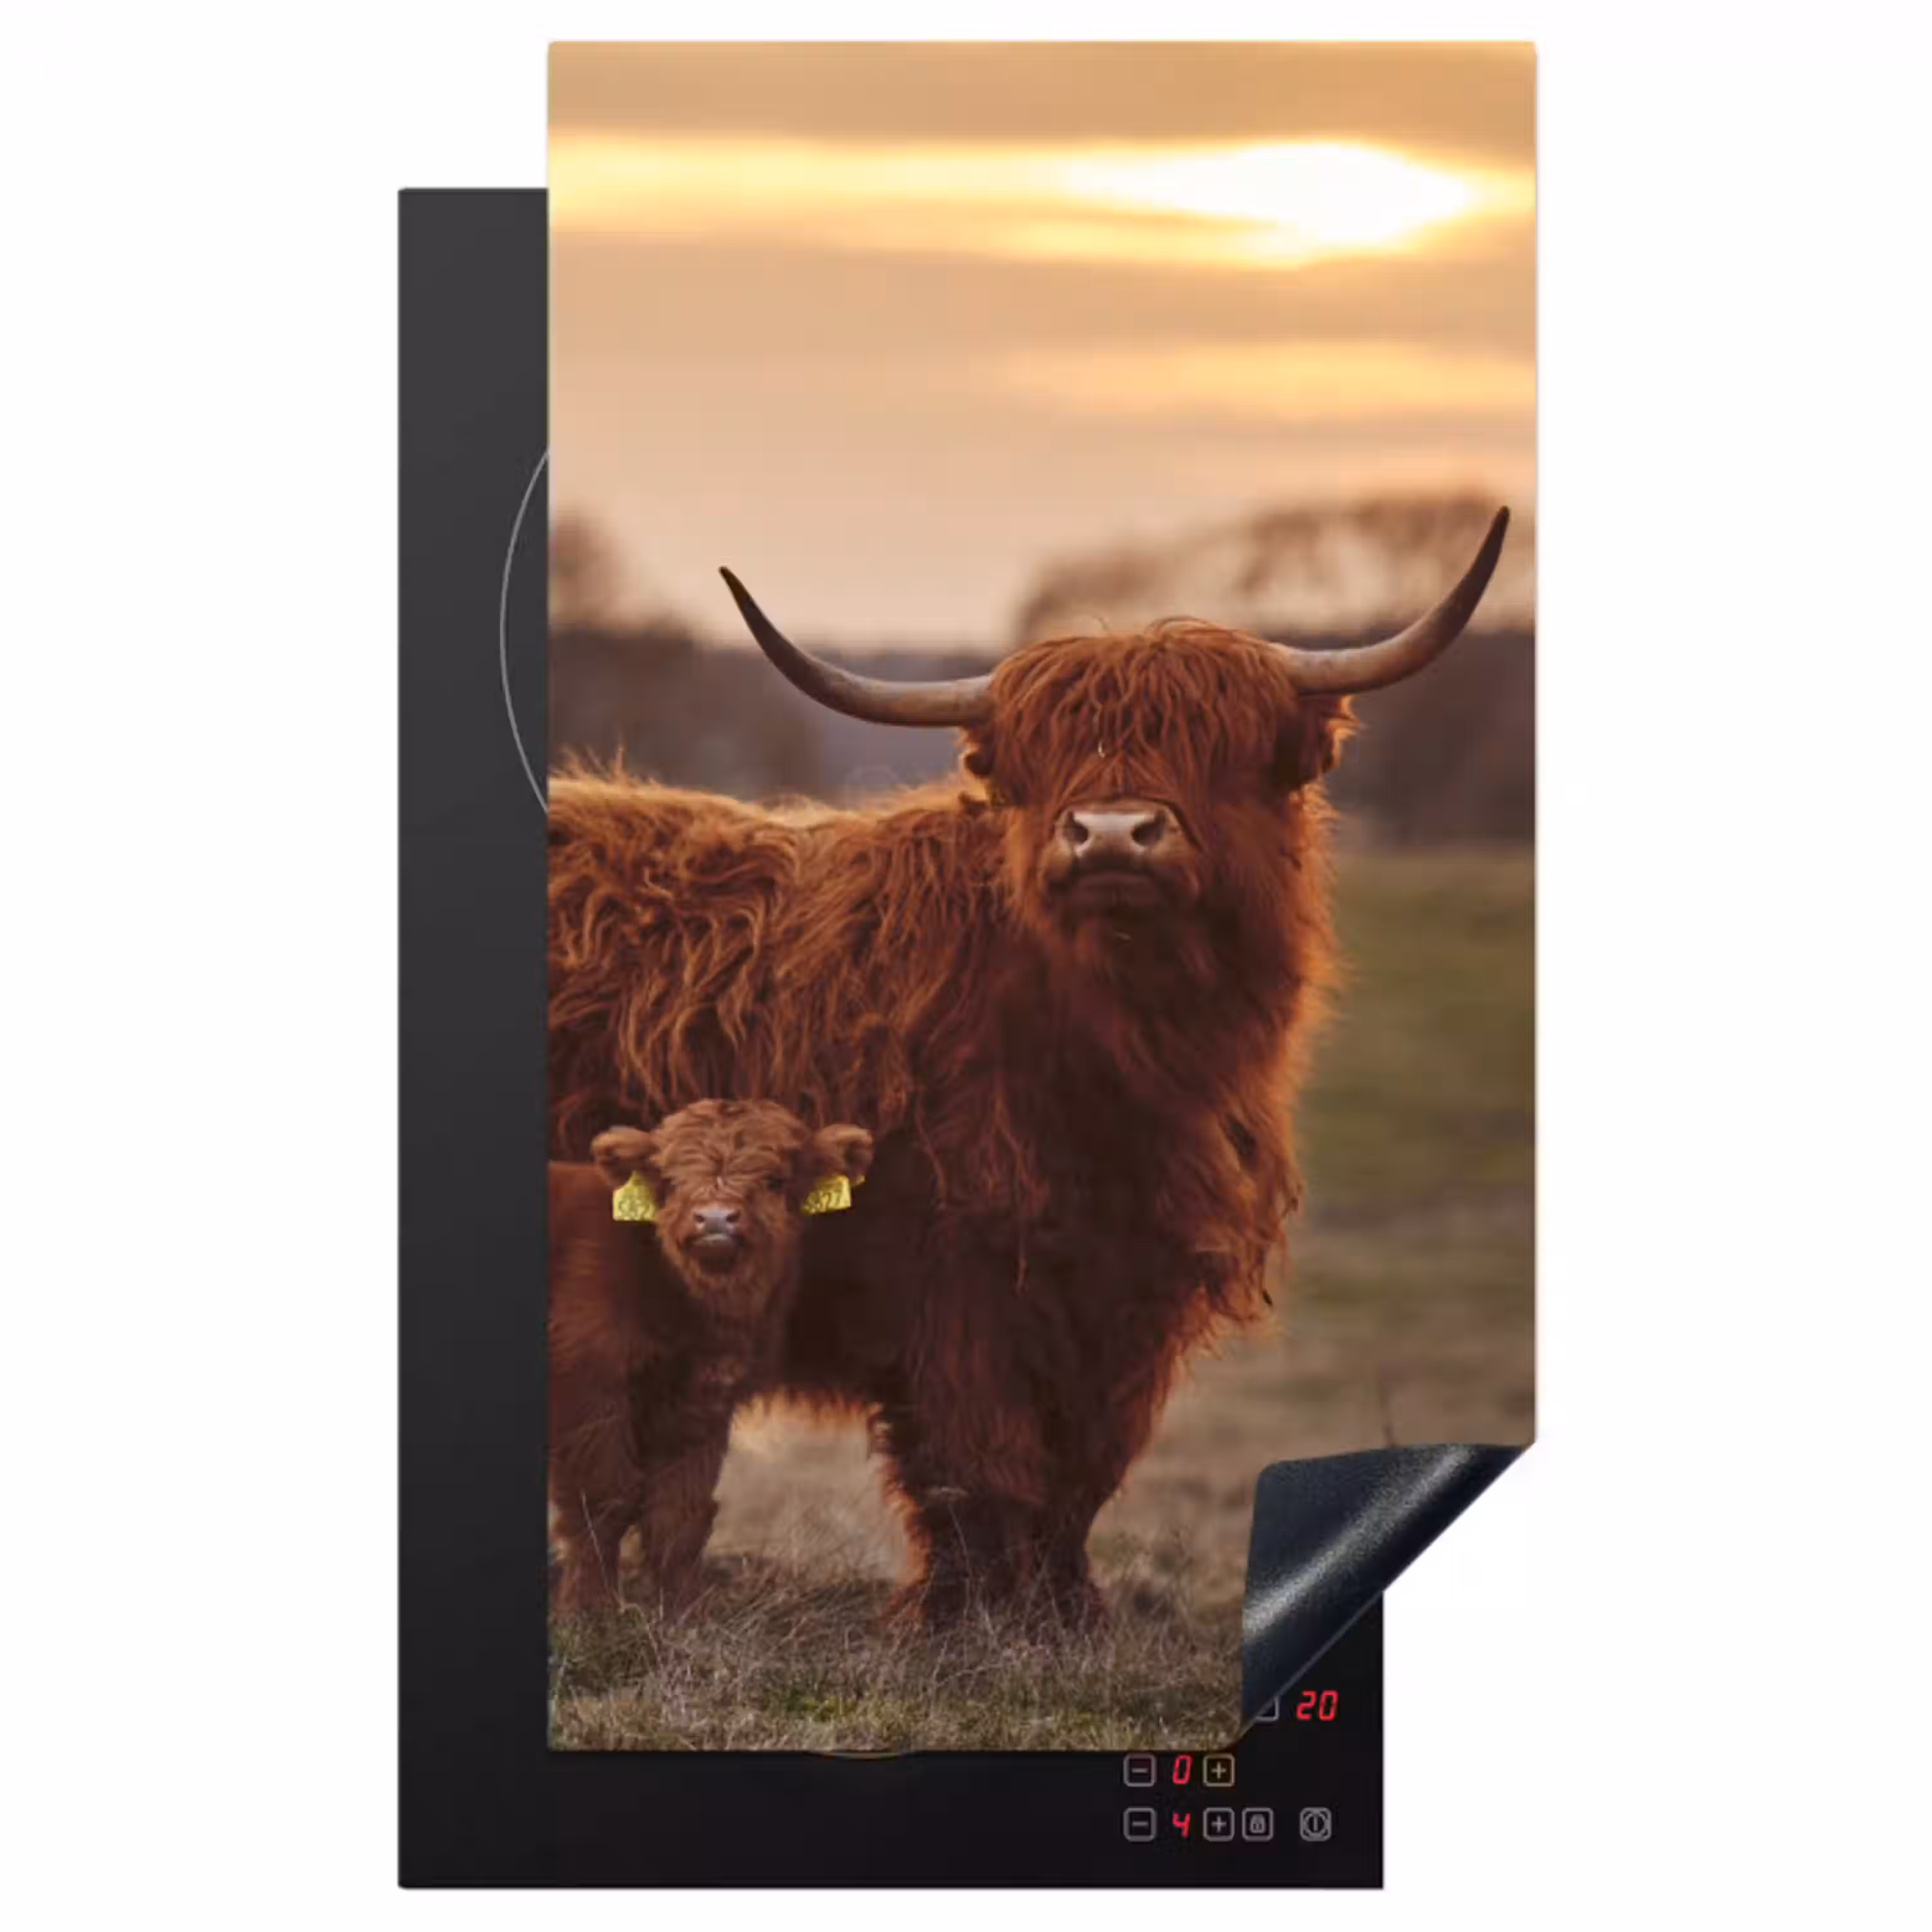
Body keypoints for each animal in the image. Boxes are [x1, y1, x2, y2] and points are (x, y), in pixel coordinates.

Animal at [548, 1099, 875, 1614]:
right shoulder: (589, 1388)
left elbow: (680, 1513)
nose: (716, 1218)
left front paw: (685, 1612)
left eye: (775, 1180)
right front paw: (589, 1611)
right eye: (672, 1180)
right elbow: (603, 1501)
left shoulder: (702, 1403)